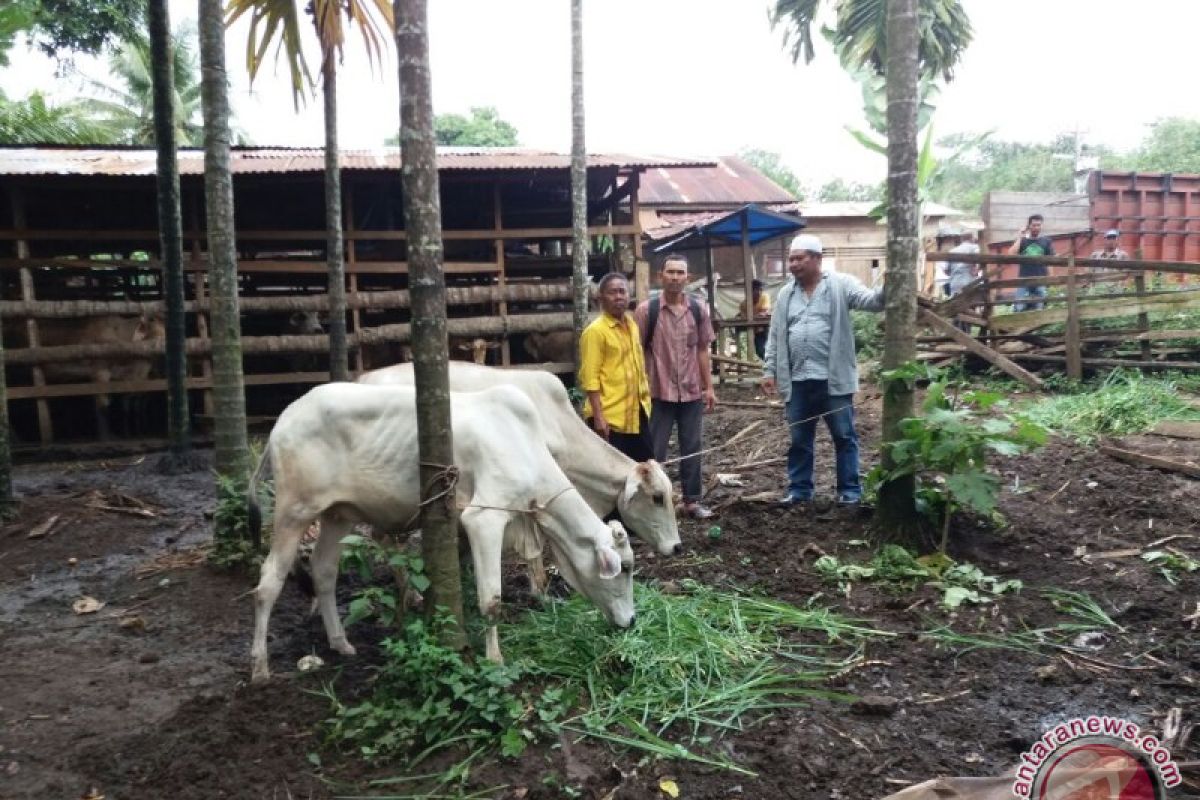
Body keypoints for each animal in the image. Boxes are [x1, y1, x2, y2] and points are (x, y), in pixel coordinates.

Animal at [247, 383, 633, 686]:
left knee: (324, 572)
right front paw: (495, 660)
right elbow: (491, 600)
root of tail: (285, 417)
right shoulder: (484, 519)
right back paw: (260, 666)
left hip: (338, 514)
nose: (630, 622)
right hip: (294, 510)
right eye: (625, 569)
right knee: (268, 581)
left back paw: (340, 642)